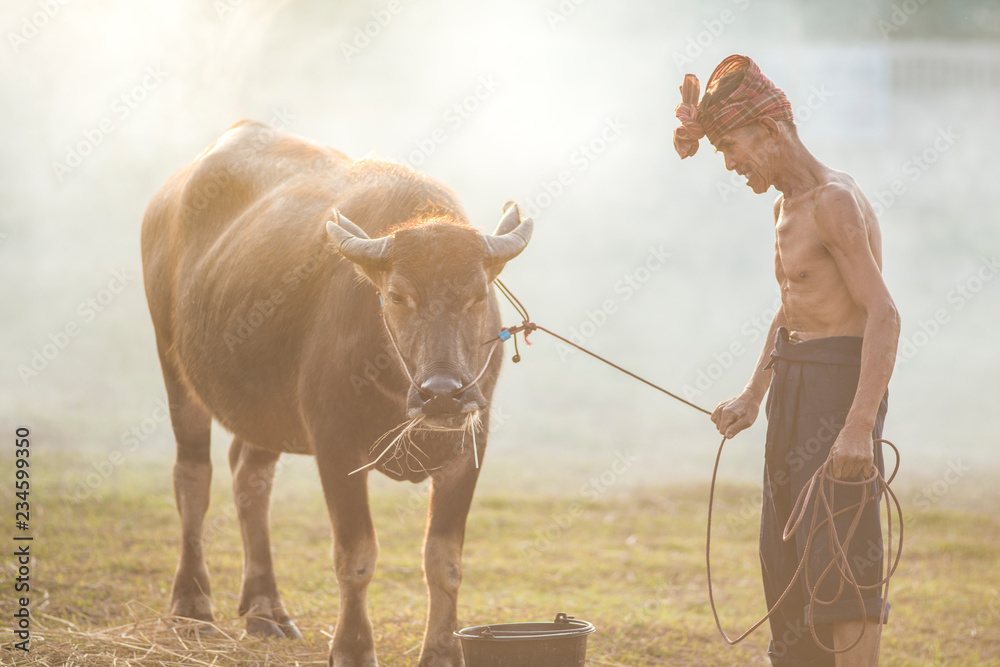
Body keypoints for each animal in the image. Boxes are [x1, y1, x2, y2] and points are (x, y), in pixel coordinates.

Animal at [143, 121, 532, 667]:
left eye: (477, 295)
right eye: (397, 296)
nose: (442, 395)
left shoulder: (467, 447)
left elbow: (444, 560)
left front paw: (440, 651)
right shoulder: (335, 446)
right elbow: (357, 556)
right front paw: (351, 648)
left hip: (262, 407)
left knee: (250, 479)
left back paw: (265, 609)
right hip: (174, 365)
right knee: (194, 477)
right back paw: (192, 606)